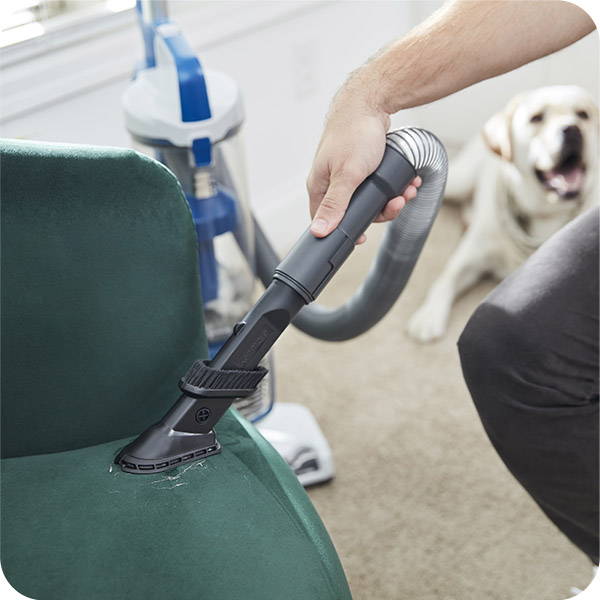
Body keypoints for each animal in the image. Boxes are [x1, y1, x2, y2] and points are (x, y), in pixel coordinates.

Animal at [406, 86, 596, 344]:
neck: (544, 211)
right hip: (458, 180)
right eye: (536, 118)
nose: (572, 130)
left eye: (583, 115)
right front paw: (428, 316)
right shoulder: (471, 254)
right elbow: (446, 277)